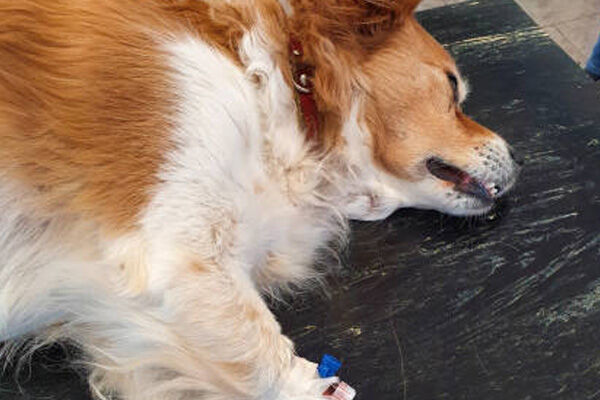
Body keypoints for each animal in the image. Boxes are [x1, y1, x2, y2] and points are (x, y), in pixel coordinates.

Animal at [0, 0, 519, 399]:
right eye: (452, 86)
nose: (518, 156)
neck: (282, 86)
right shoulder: (174, 249)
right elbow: (270, 357)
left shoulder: (114, 321)